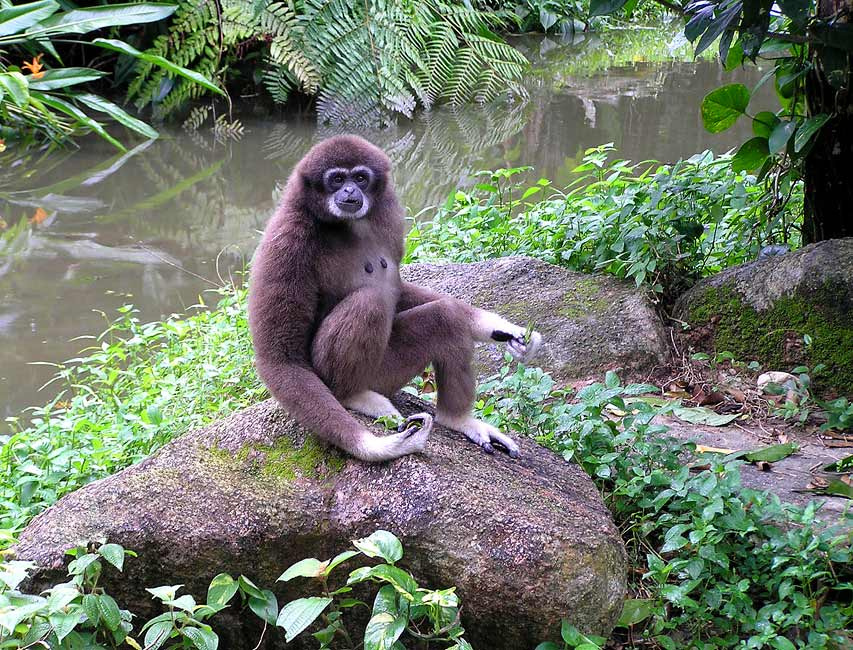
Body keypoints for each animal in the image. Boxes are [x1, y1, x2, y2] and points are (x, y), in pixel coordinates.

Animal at [248, 135, 542, 462]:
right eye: (336, 179)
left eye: (360, 178)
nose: (349, 191)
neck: (344, 225)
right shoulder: (286, 242)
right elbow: (281, 360)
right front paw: (378, 446)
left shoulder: (389, 219)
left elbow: (400, 291)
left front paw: (504, 330)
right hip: (348, 375)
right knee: (370, 303)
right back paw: (354, 395)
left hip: (387, 374)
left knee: (446, 317)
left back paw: (458, 419)